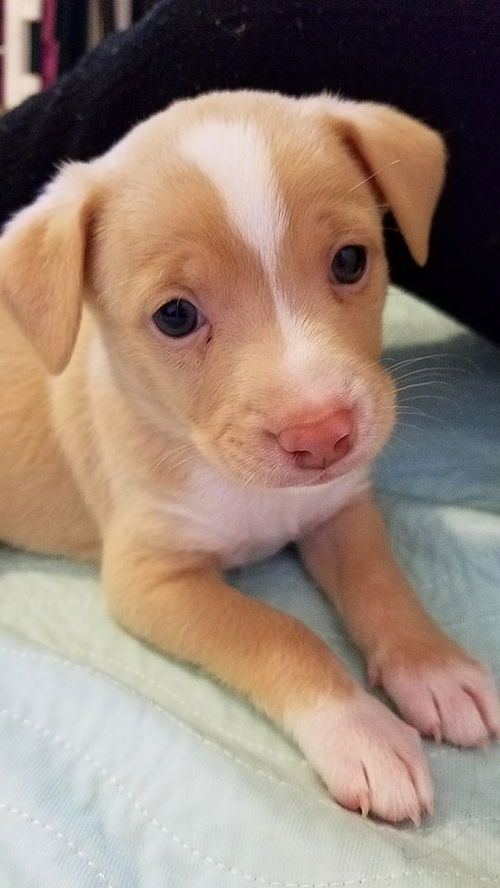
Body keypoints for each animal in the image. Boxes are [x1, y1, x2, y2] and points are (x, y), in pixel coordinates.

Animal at [0, 92, 500, 824]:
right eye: (175, 316)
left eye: (350, 260)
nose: (323, 435)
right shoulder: (150, 580)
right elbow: (278, 632)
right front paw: (360, 730)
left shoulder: (340, 508)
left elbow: (384, 584)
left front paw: (436, 667)